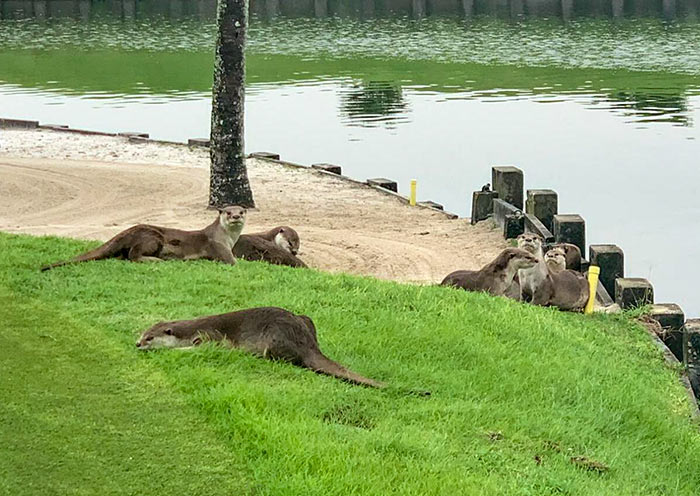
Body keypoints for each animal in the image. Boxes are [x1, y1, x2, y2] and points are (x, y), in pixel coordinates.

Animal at [41, 206, 246, 271]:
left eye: (242, 211)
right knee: (133, 255)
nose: (236, 216)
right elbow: (236, 263)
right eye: (228, 212)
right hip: (153, 236)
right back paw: (156, 260)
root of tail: (128, 231)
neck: (228, 239)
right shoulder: (221, 248)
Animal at [136, 307, 383, 388]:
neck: (189, 331)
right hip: (306, 319)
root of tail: (307, 343)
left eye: (149, 337)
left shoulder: (210, 336)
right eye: (142, 334)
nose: (137, 343)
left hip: (274, 337)